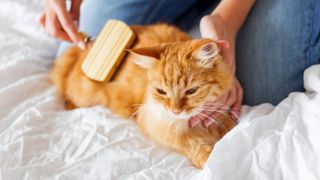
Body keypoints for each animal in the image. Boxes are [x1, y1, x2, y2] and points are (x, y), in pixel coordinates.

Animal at [50, 23, 235, 167]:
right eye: (162, 92)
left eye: (191, 91)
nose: (175, 111)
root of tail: (88, 47)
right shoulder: (160, 128)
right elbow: (195, 148)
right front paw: (209, 158)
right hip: (86, 93)